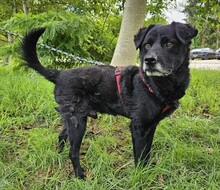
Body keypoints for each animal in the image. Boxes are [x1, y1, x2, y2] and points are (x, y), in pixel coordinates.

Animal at [21, 21, 198, 178]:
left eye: (169, 44)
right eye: (147, 45)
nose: (149, 60)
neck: (153, 83)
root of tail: (59, 74)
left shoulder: (151, 126)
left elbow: (147, 151)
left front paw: (149, 169)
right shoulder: (138, 126)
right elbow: (139, 155)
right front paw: (141, 175)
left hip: (71, 119)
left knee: (61, 136)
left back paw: (57, 156)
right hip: (78, 122)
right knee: (73, 152)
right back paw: (79, 175)